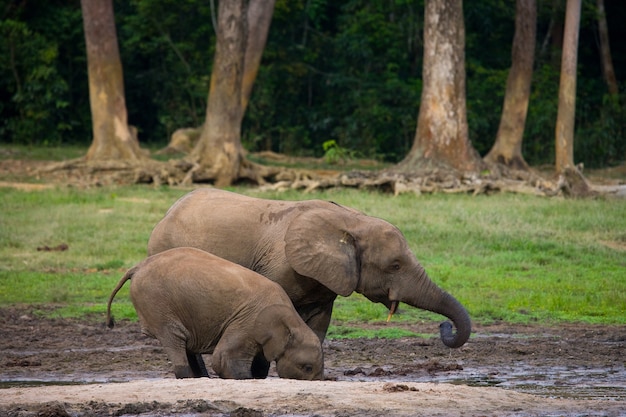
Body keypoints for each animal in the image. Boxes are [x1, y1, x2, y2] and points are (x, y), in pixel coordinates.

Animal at [105, 247, 324, 380]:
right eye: (307, 367)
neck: (292, 320)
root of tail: (137, 266)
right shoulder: (249, 321)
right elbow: (223, 359)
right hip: (157, 304)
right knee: (174, 339)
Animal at [146, 188, 468, 348]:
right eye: (395, 265)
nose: (444, 326)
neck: (352, 221)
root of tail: (169, 209)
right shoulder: (280, 265)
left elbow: (319, 324)